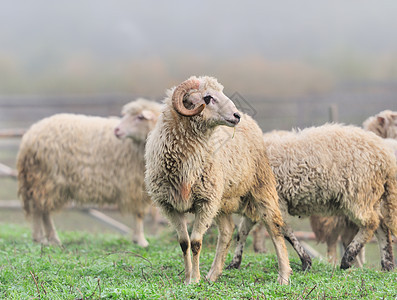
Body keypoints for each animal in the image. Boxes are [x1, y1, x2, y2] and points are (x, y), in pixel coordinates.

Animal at [15, 98, 161, 246]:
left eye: (140, 117)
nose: (117, 130)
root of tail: (29, 137)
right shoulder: (134, 186)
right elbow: (139, 214)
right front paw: (141, 241)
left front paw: (138, 239)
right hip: (47, 179)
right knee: (41, 209)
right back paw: (47, 238)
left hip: (38, 180)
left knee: (39, 209)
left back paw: (43, 238)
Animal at [143, 76, 290, 284]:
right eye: (208, 97)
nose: (236, 115)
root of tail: (251, 120)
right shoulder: (170, 206)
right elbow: (184, 243)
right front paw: (188, 278)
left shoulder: (205, 202)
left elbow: (196, 242)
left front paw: (194, 279)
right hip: (221, 199)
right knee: (227, 231)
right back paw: (213, 275)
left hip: (262, 187)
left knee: (275, 227)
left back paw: (284, 276)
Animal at [227, 123, 396, 272]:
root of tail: (386, 157)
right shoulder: (257, 205)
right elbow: (242, 232)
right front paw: (234, 263)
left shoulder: (277, 201)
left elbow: (284, 230)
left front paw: (305, 262)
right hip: (370, 195)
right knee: (381, 225)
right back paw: (386, 264)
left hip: (359, 192)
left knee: (371, 223)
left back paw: (348, 258)